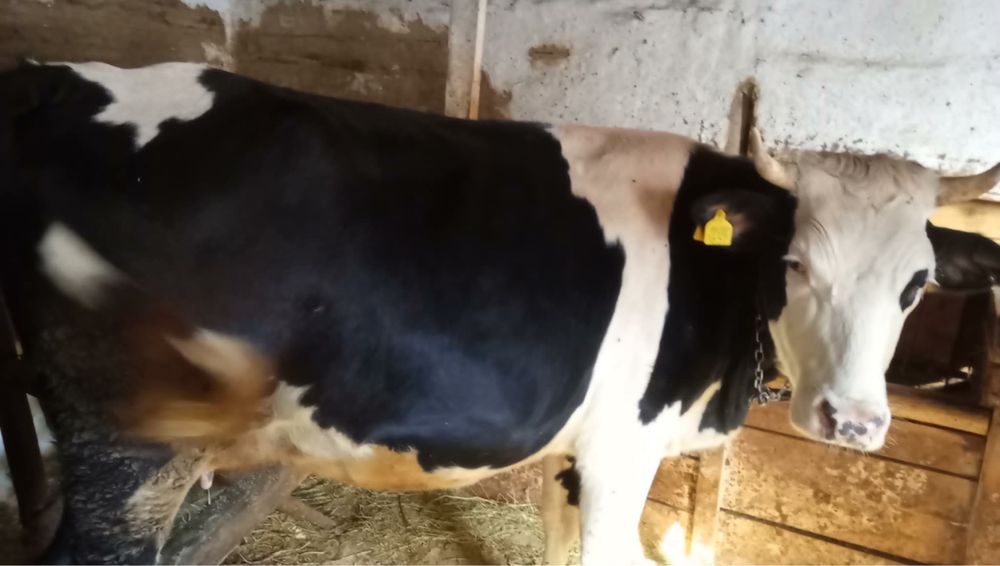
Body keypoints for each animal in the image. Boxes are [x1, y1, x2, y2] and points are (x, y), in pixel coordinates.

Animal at [2, 61, 999, 565]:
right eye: (795, 263)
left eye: (915, 283)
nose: (853, 423)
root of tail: (55, 78)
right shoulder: (622, 449)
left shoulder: (573, 457)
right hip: (127, 450)